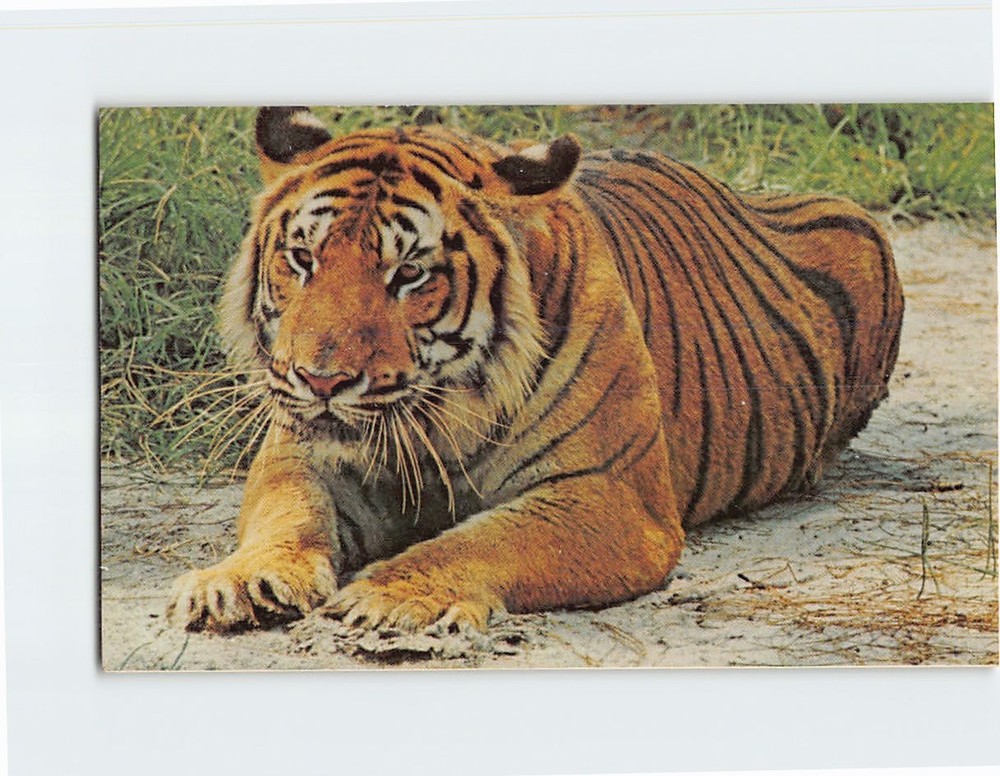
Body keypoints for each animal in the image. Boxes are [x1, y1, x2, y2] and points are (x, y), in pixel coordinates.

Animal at [167, 106, 904, 634]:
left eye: (409, 275)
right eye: (302, 258)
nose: (320, 380)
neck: (440, 416)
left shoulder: (609, 497)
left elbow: (481, 542)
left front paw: (392, 595)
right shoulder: (299, 453)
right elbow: (286, 514)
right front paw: (241, 582)